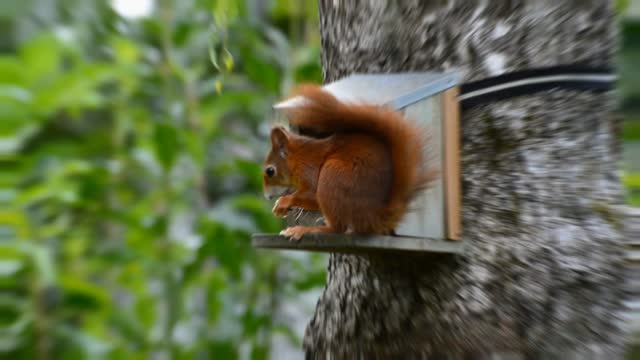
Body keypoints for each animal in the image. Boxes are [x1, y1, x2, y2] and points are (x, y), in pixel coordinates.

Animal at [262, 84, 436, 242]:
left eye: (270, 171)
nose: (267, 196)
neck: (298, 157)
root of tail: (374, 218)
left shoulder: (309, 168)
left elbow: (311, 193)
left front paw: (284, 202)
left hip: (332, 177)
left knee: (337, 228)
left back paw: (307, 229)